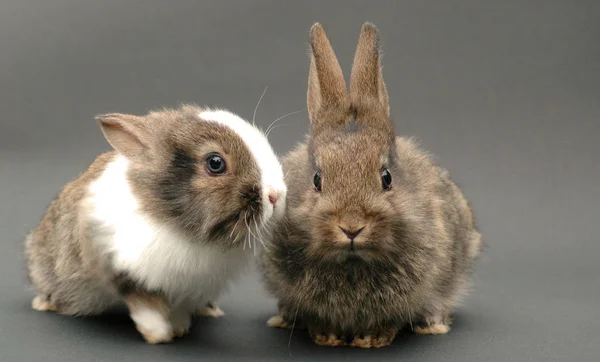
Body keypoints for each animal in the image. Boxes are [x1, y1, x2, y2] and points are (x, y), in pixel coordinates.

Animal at [27, 104, 290, 342]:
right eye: (215, 163)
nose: (276, 195)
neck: (181, 227)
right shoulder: (121, 270)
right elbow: (146, 307)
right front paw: (159, 336)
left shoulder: (190, 289)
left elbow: (180, 309)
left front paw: (179, 329)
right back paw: (44, 304)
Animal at [258, 23, 482, 348]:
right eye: (317, 179)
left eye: (386, 177)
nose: (351, 227)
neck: (353, 261)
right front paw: (327, 336)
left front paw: (371, 339)